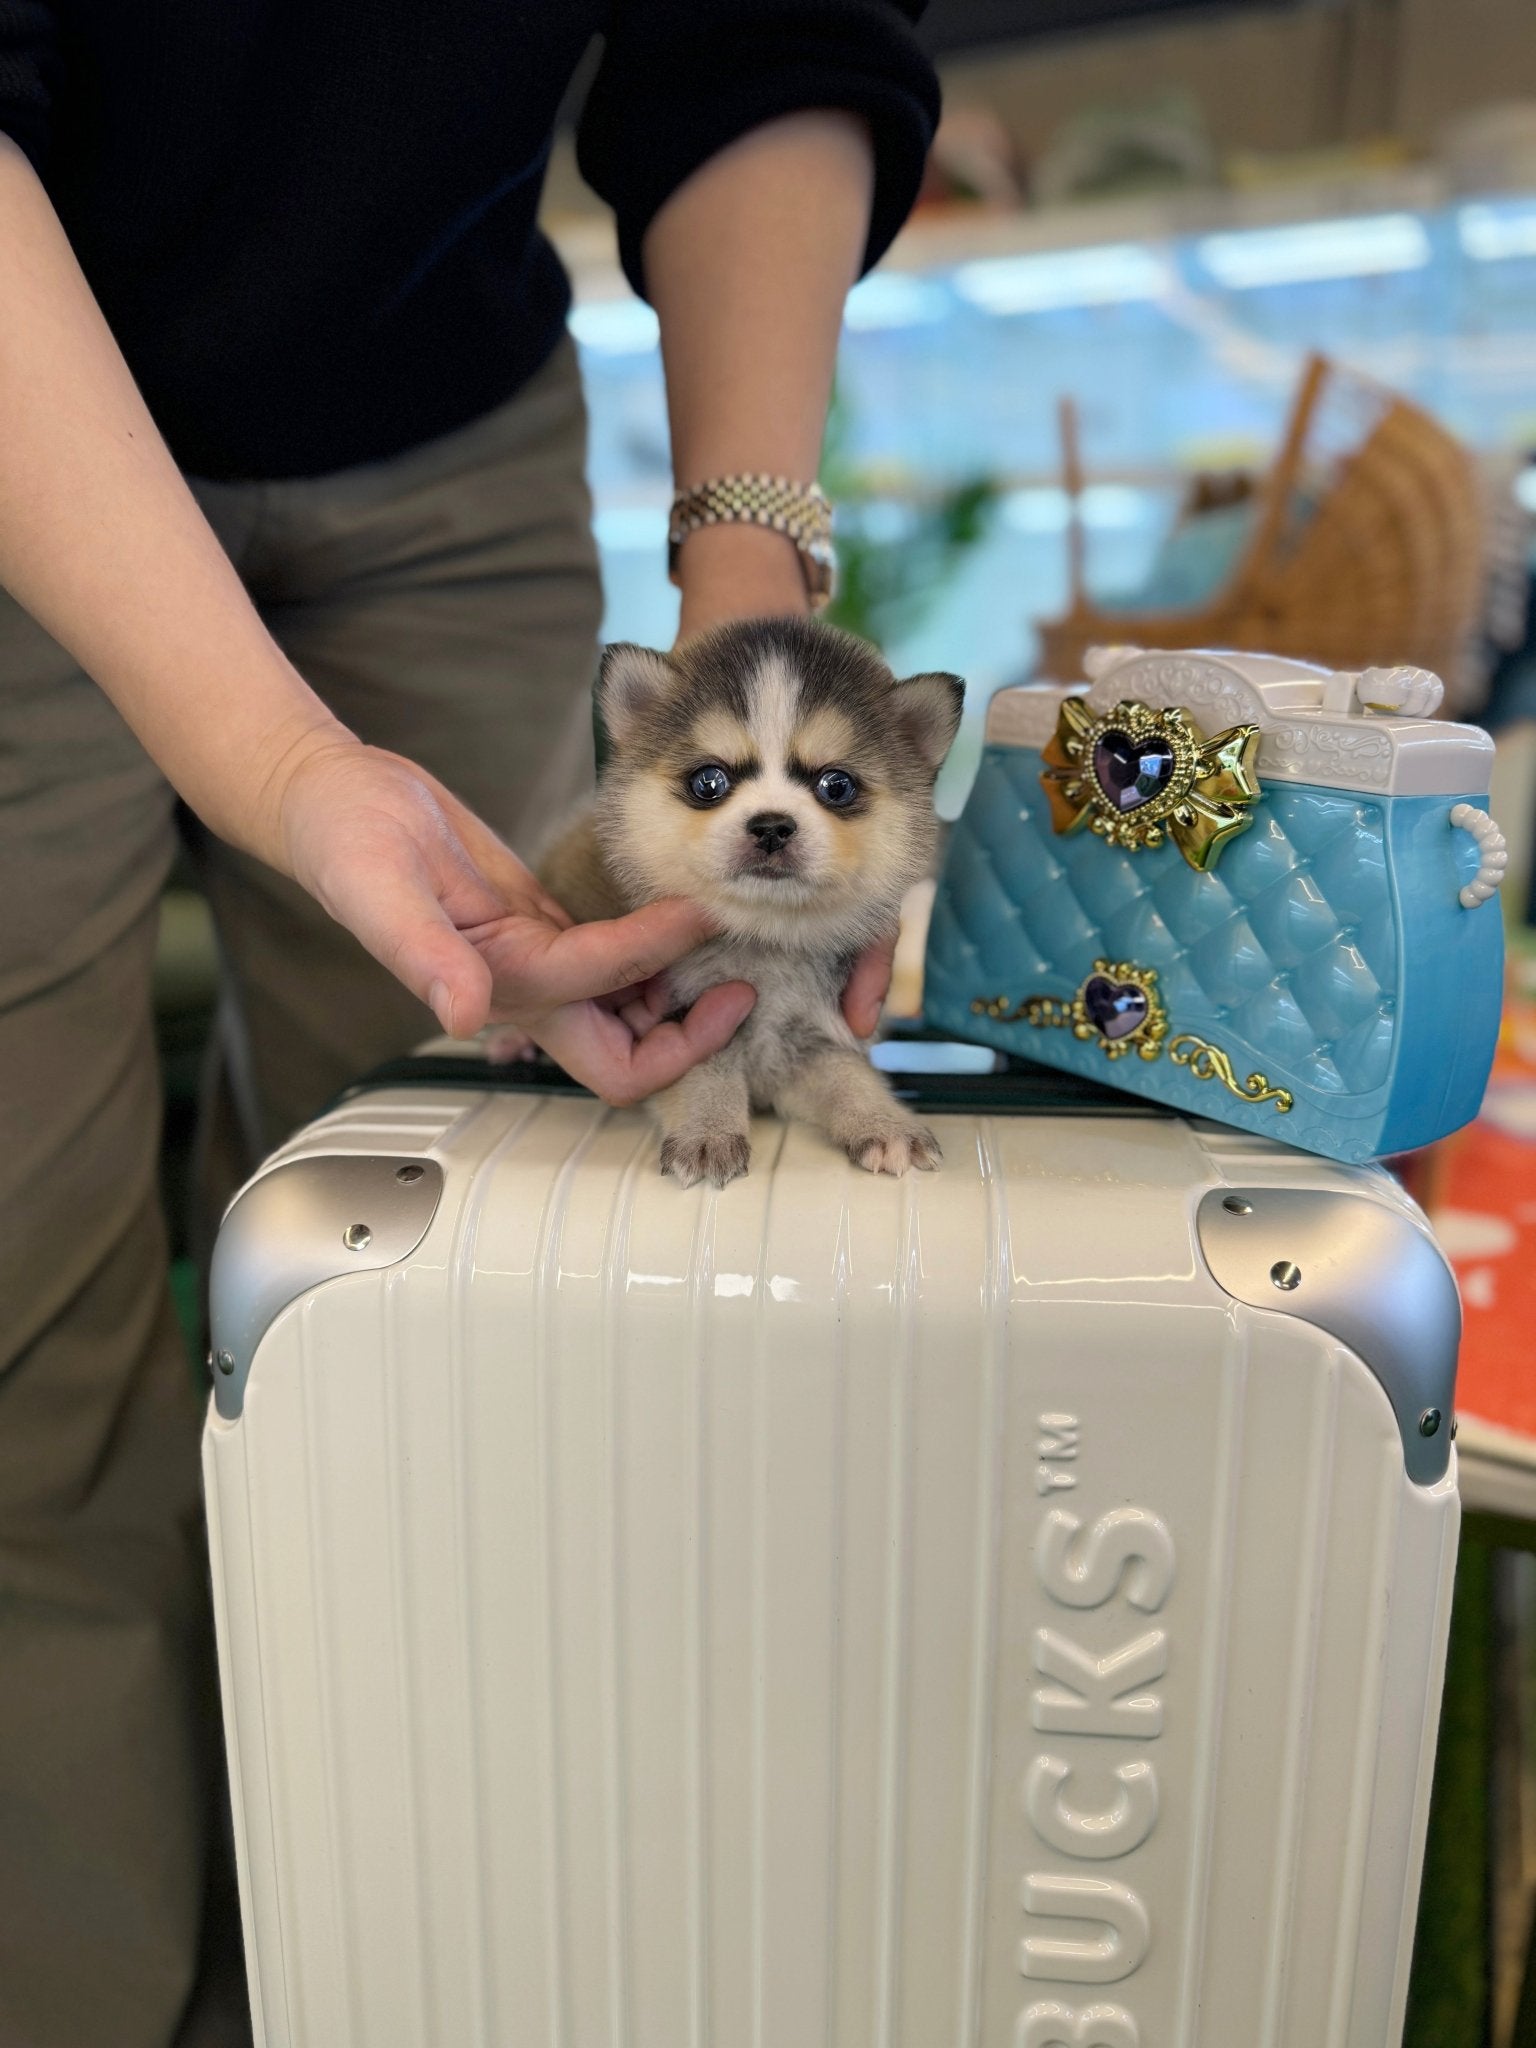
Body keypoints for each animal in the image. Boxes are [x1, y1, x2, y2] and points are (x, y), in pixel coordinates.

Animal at [544, 610, 962, 1187]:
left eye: (836, 785)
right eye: (709, 781)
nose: (771, 826)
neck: (765, 939)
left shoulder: (814, 1035)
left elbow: (850, 1074)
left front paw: (885, 1123)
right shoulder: (683, 1023)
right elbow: (704, 1073)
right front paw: (708, 1133)